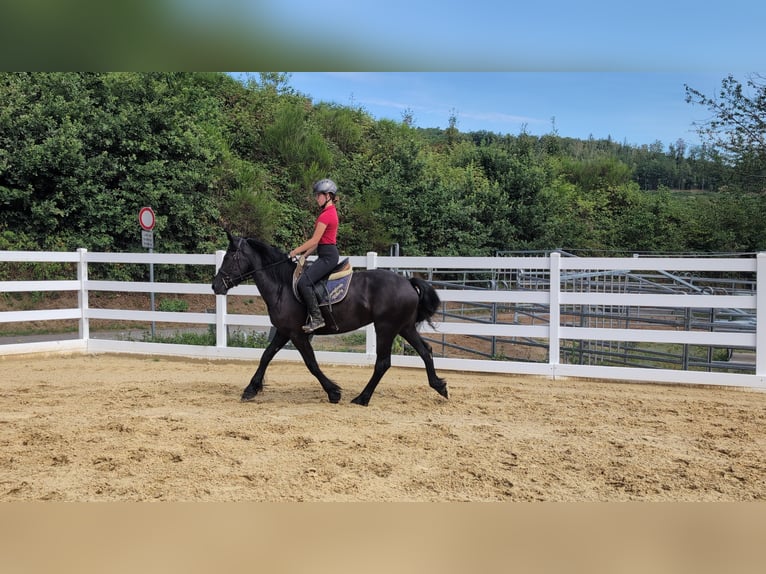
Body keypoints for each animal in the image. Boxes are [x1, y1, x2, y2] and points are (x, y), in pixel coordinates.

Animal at [211, 231, 448, 406]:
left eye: (229, 258)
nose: (215, 286)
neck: (283, 286)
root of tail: (407, 282)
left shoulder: (297, 334)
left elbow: (311, 363)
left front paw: (333, 392)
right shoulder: (284, 331)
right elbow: (266, 356)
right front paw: (251, 389)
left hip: (386, 328)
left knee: (383, 362)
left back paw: (362, 398)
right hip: (404, 327)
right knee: (425, 351)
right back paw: (439, 386)